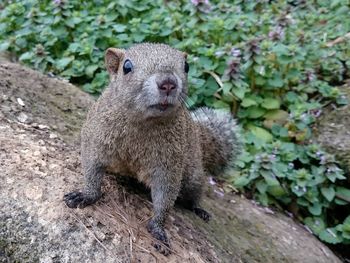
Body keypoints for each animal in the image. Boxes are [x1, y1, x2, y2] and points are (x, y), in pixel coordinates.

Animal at [63, 43, 241, 256]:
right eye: (127, 66)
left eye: (187, 66)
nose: (168, 83)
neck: (143, 123)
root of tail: (198, 138)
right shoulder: (95, 140)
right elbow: (91, 170)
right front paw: (86, 195)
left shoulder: (169, 165)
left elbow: (165, 197)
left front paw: (158, 229)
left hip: (192, 175)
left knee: (195, 192)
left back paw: (199, 209)